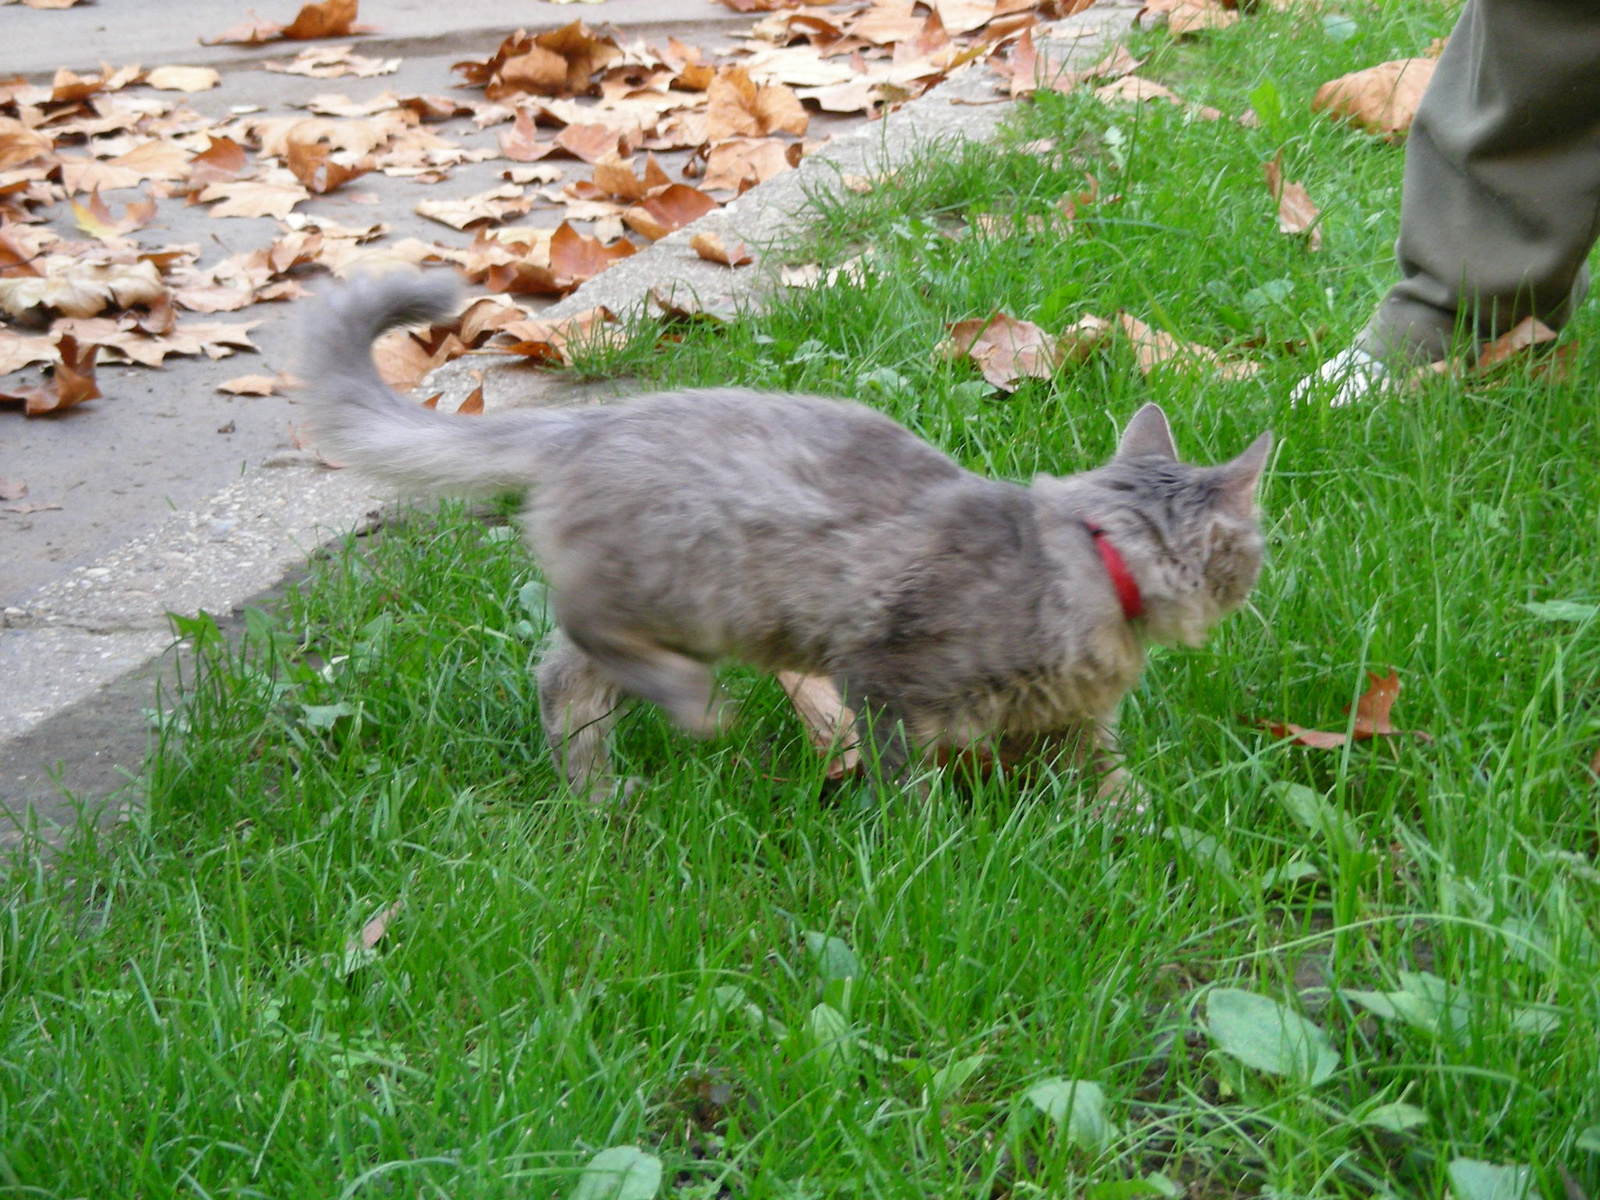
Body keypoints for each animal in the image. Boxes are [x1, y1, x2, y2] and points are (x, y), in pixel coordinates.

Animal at [297, 272, 1273, 809]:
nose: (1260, 584)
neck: (1086, 567)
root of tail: (591, 423)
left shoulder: (1074, 717)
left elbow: (1103, 771)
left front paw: (1132, 814)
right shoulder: (887, 679)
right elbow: (907, 784)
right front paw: (931, 845)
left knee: (563, 679)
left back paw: (597, 791)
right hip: (689, 593)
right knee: (581, 636)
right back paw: (691, 710)